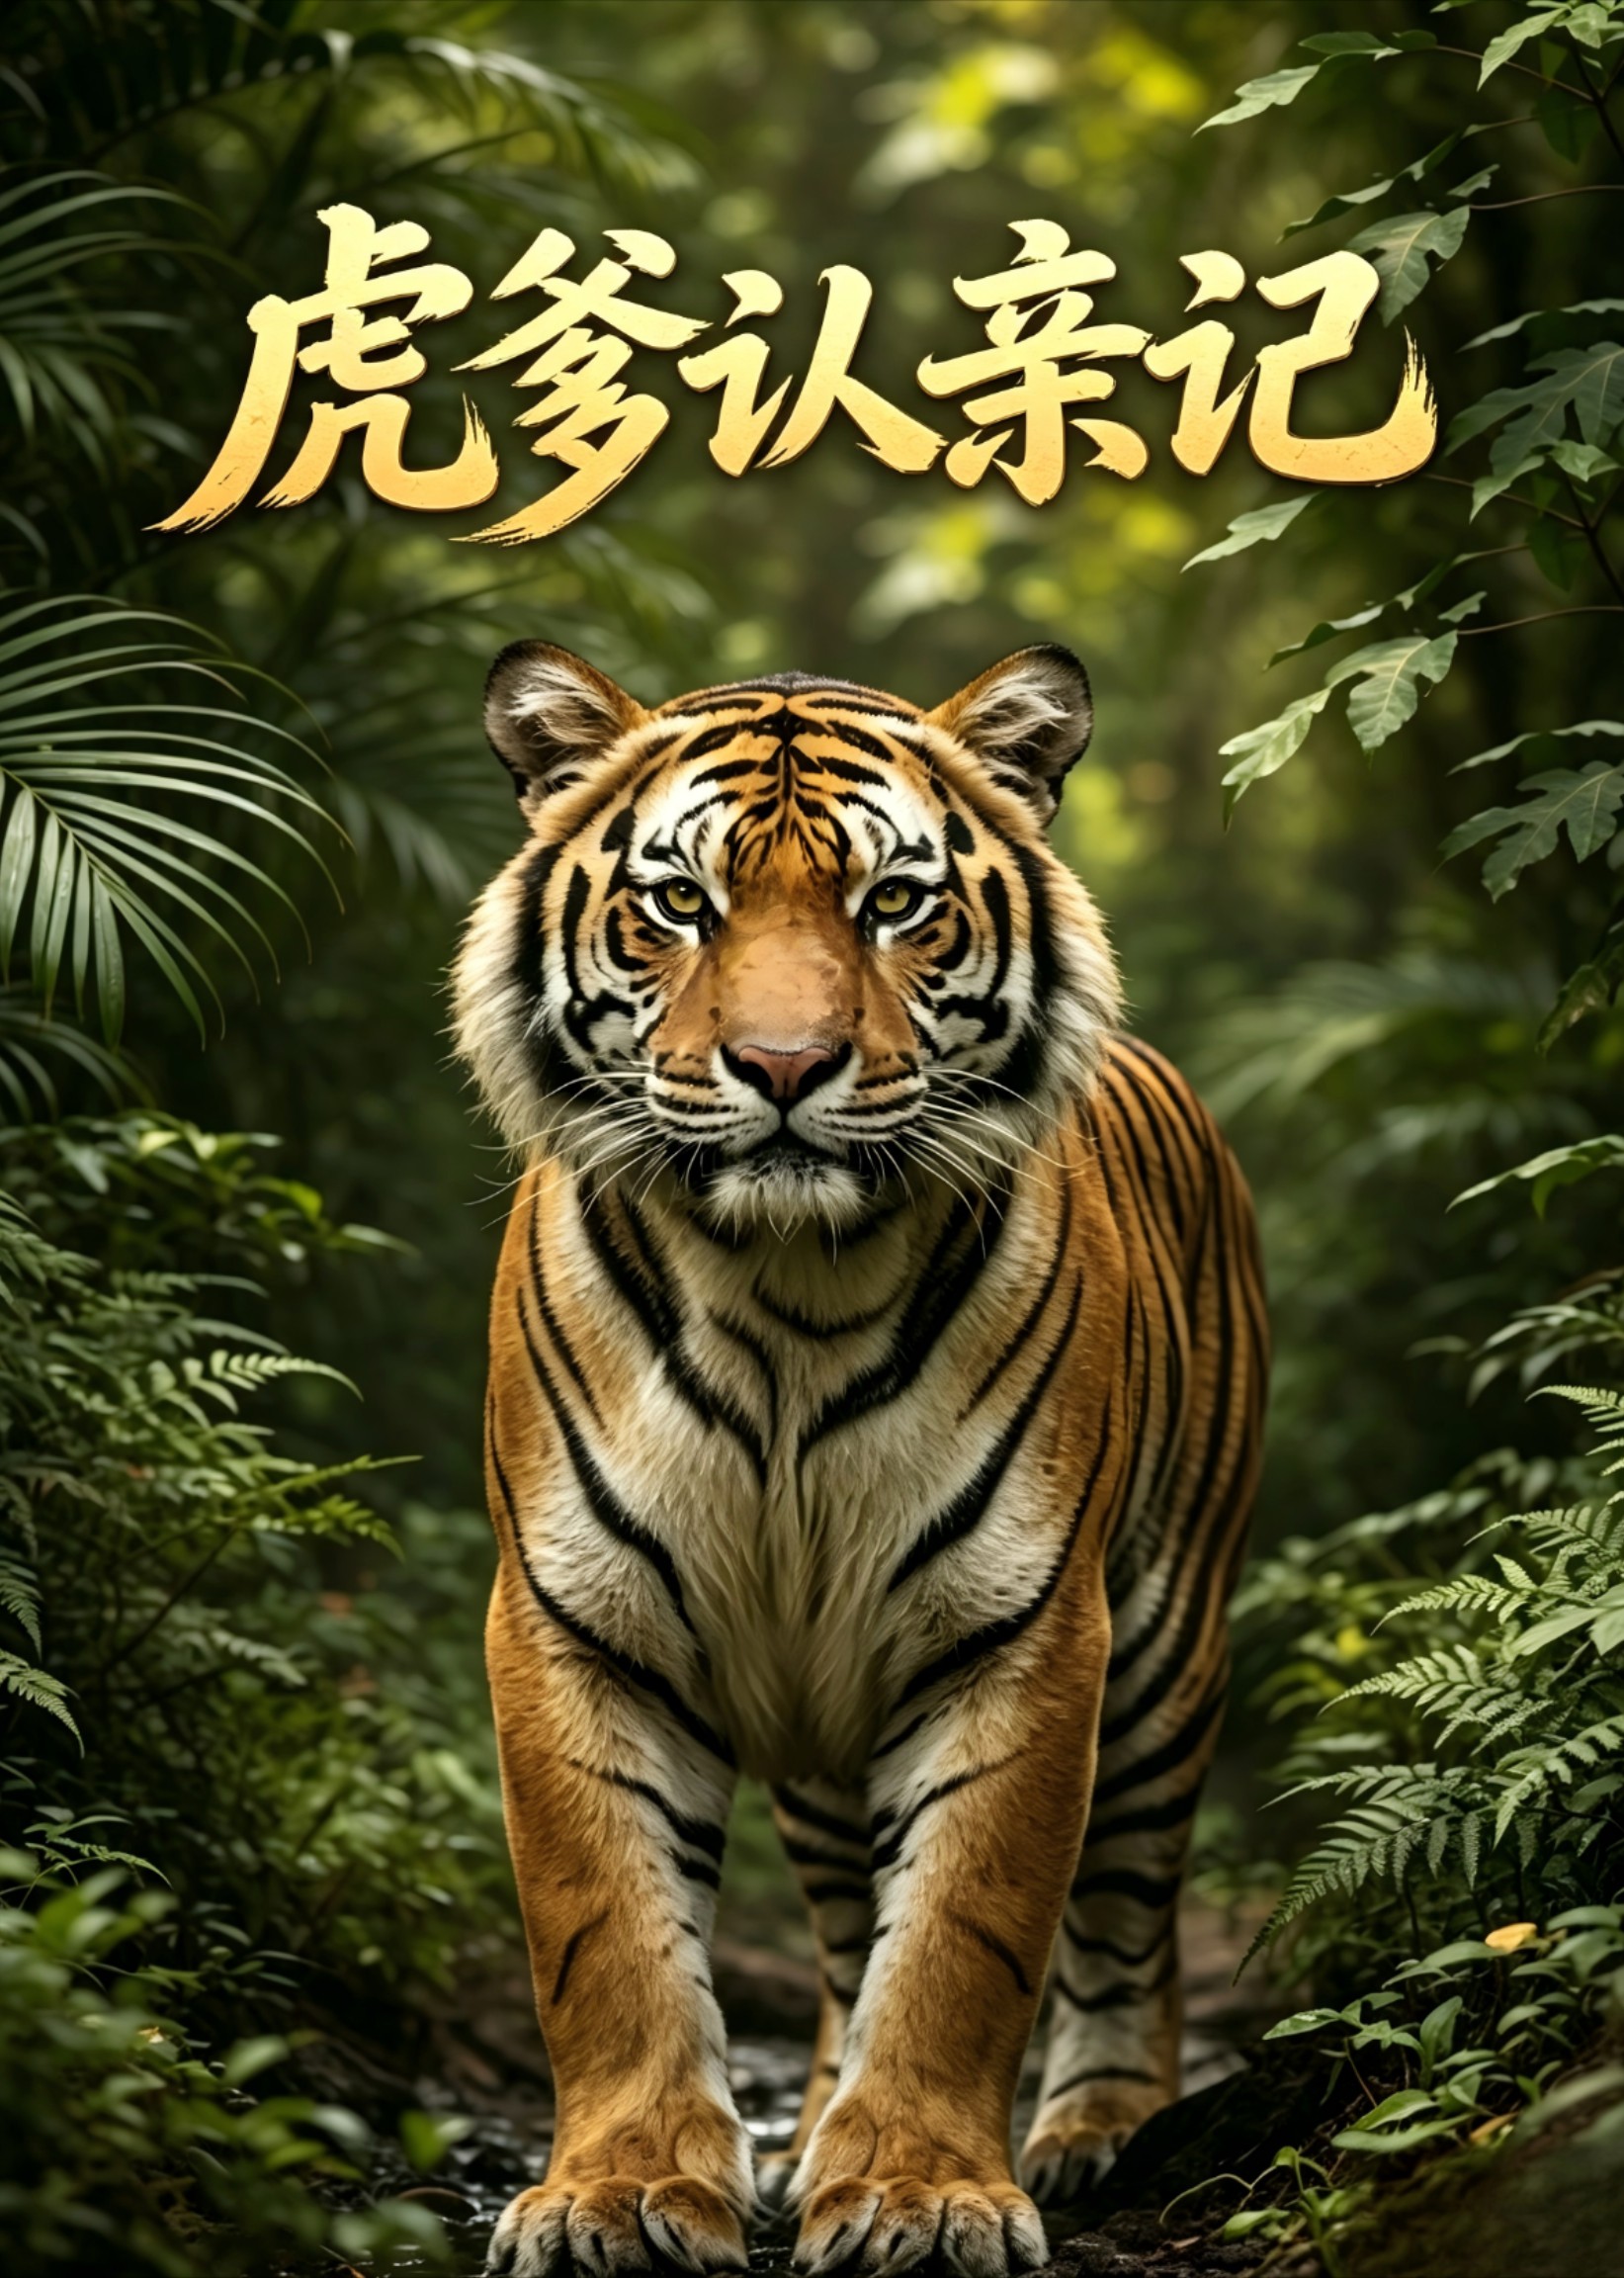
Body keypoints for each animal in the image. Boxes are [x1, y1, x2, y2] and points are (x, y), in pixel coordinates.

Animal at [453, 637, 1268, 2278]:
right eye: (678, 901)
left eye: (893, 901)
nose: (783, 1065)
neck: (785, 1290)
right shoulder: (573, 1620)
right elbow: (606, 1937)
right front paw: (619, 2195)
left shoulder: (1021, 1632)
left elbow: (964, 1937)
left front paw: (919, 2197)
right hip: (825, 1737)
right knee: (841, 1927)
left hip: (1165, 1656)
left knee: (1127, 1923)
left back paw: (1099, 2126)